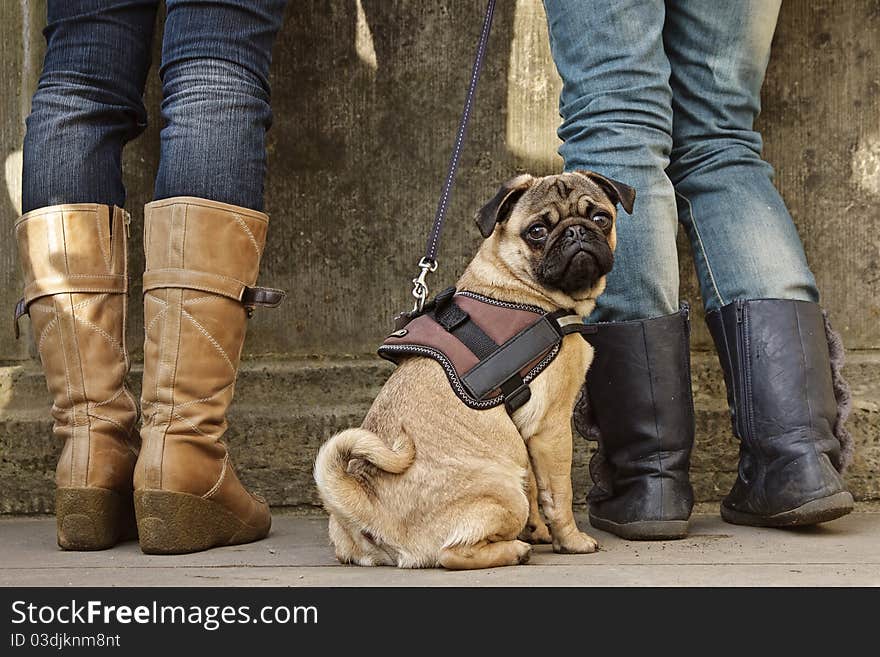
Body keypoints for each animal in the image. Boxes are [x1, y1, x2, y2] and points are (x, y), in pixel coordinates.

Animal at [316, 172, 632, 568]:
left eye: (601, 218)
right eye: (537, 231)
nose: (576, 231)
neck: (518, 285)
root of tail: (365, 507)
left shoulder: (524, 433)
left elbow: (534, 483)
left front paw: (539, 530)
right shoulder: (551, 427)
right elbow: (558, 494)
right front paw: (571, 540)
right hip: (504, 492)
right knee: (452, 554)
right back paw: (515, 549)